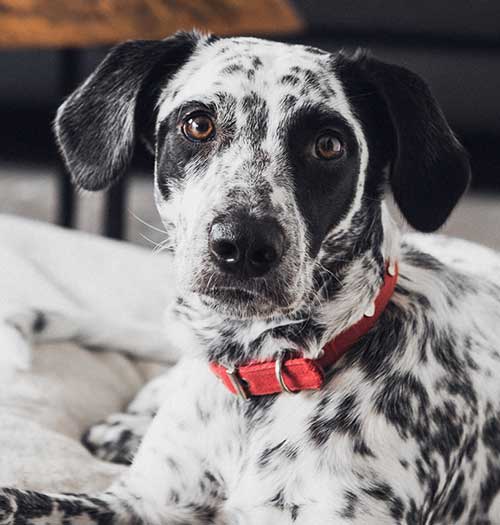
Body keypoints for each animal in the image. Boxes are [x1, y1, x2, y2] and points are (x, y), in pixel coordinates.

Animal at [0, 29, 500, 524]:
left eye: (329, 145)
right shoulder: (137, 503)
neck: (260, 371)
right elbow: (22, 501)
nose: (242, 244)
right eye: (197, 124)